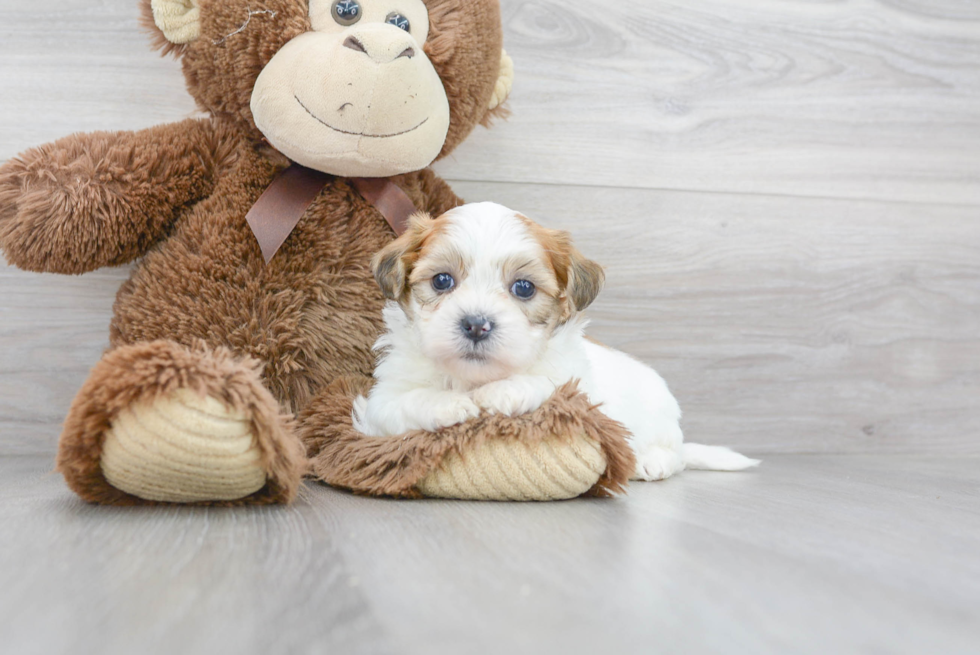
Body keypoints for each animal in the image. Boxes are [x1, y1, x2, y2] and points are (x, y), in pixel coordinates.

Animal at [352, 202, 756, 484]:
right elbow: (403, 403)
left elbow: (549, 383)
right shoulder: (380, 402)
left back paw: (650, 460)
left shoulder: (581, 390)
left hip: (660, 417)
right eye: (441, 281)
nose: (477, 325)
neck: (474, 377)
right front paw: (448, 405)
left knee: (676, 455)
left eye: (523, 288)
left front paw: (502, 392)